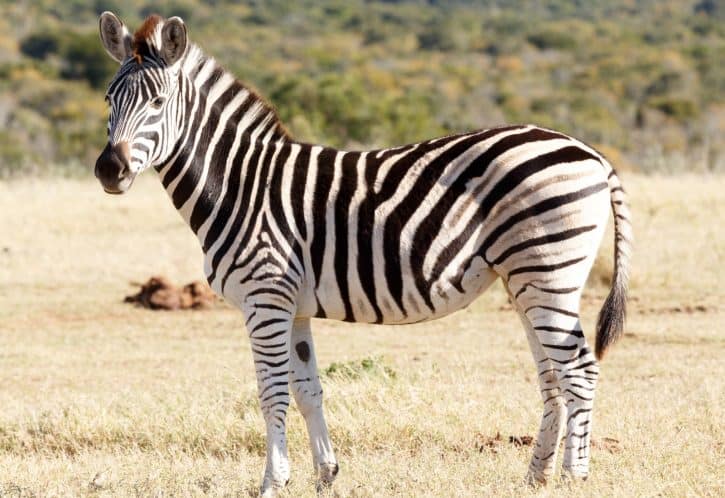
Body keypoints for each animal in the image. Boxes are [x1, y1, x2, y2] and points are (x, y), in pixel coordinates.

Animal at [95, 12, 632, 496]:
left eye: (158, 102)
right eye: (108, 100)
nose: (108, 170)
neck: (241, 185)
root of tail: (590, 152)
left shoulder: (266, 297)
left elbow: (271, 393)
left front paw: (272, 482)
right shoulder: (294, 307)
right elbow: (307, 389)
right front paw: (325, 476)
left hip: (549, 271)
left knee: (579, 370)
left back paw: (574, 478)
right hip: (527, 280)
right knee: (552, 374)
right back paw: (536, 476)